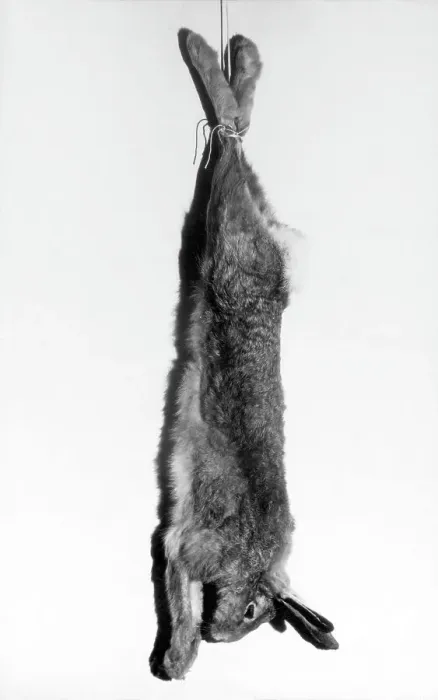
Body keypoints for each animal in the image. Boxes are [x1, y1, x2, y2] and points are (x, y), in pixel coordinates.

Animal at [152, 29, 338, 681]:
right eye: (256, 608)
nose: (222, 633)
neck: (250, 558)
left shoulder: (182, 546)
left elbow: (176, 592)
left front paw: (181, 656)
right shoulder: (184, 547)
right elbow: (176, 596)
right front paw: (179, 659)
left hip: (227, 235)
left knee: (236, 144)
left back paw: (239, 57)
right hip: (226, 247)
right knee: (230, 148)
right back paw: (207, 51)